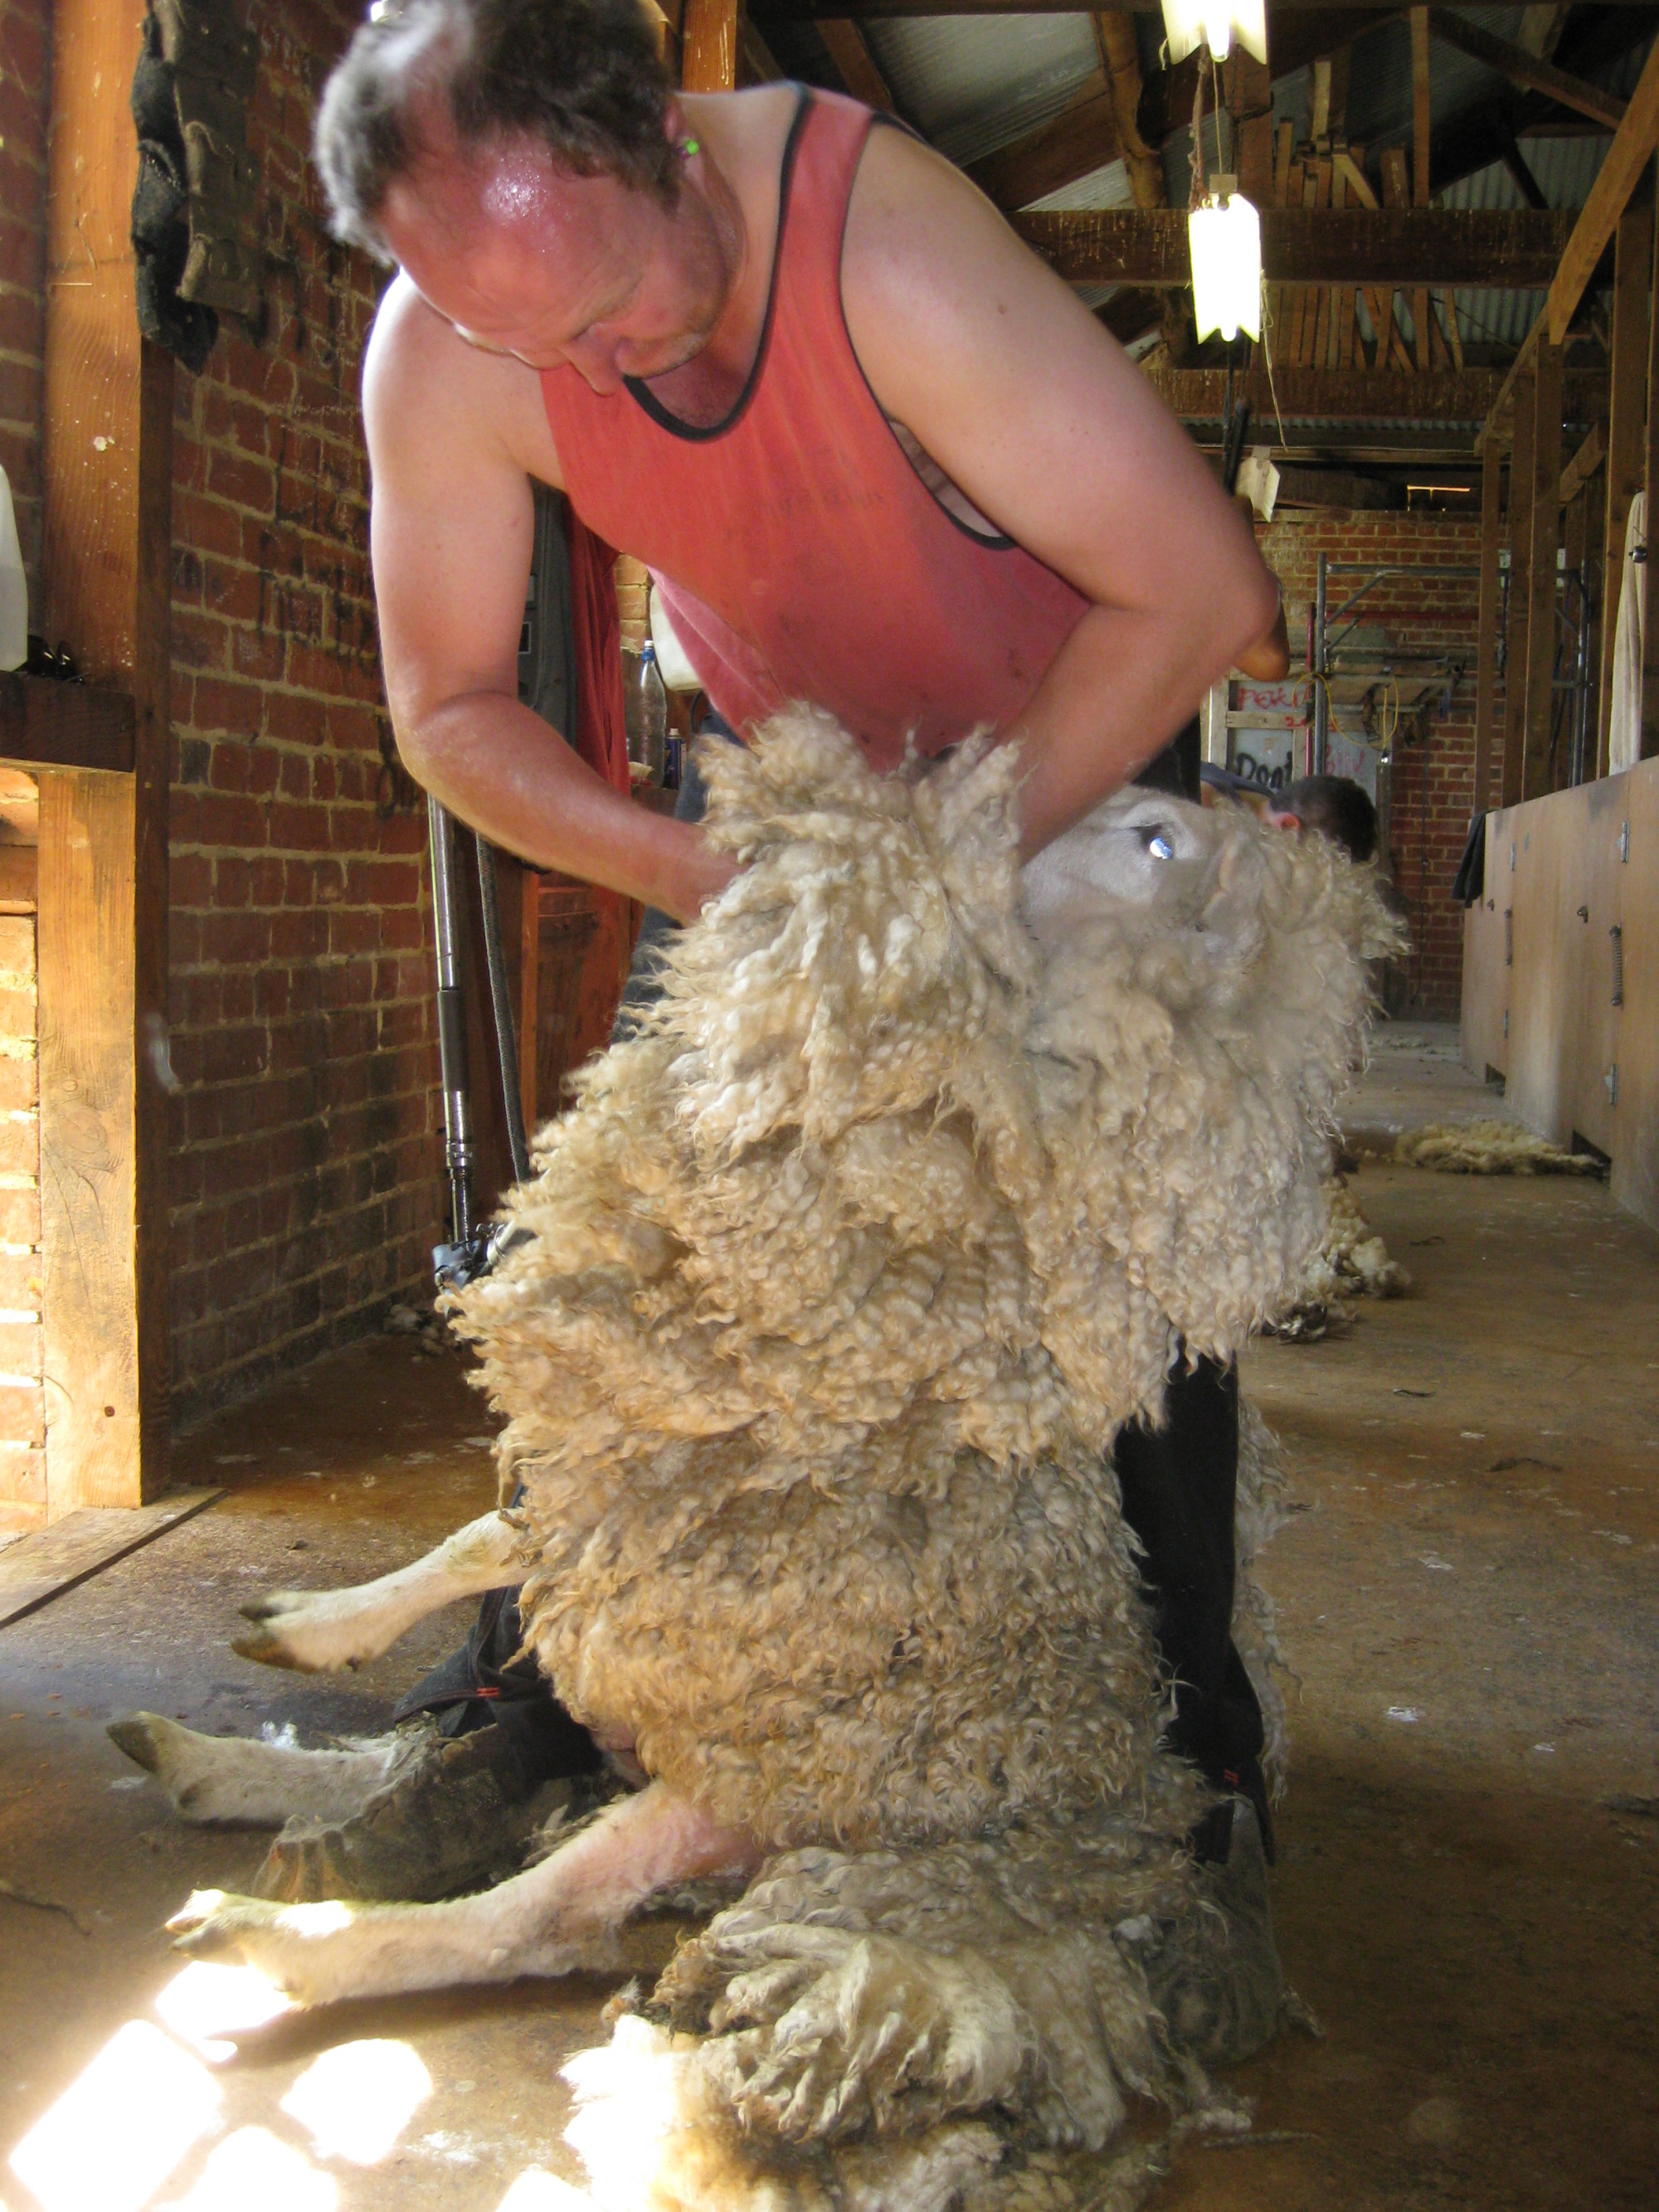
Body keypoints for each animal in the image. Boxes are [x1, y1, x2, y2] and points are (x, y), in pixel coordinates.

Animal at [138, 709, 1396, 2210]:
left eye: (1152, 840)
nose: (992, 780)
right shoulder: (634, 1496)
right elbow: (480, 1537)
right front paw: (317, 1623)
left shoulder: (705, 1565)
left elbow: (501, 1574)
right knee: (462, 1770)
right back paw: (215, 1763)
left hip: (762, 1797)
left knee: (537, 1913)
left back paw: (280, 1933)